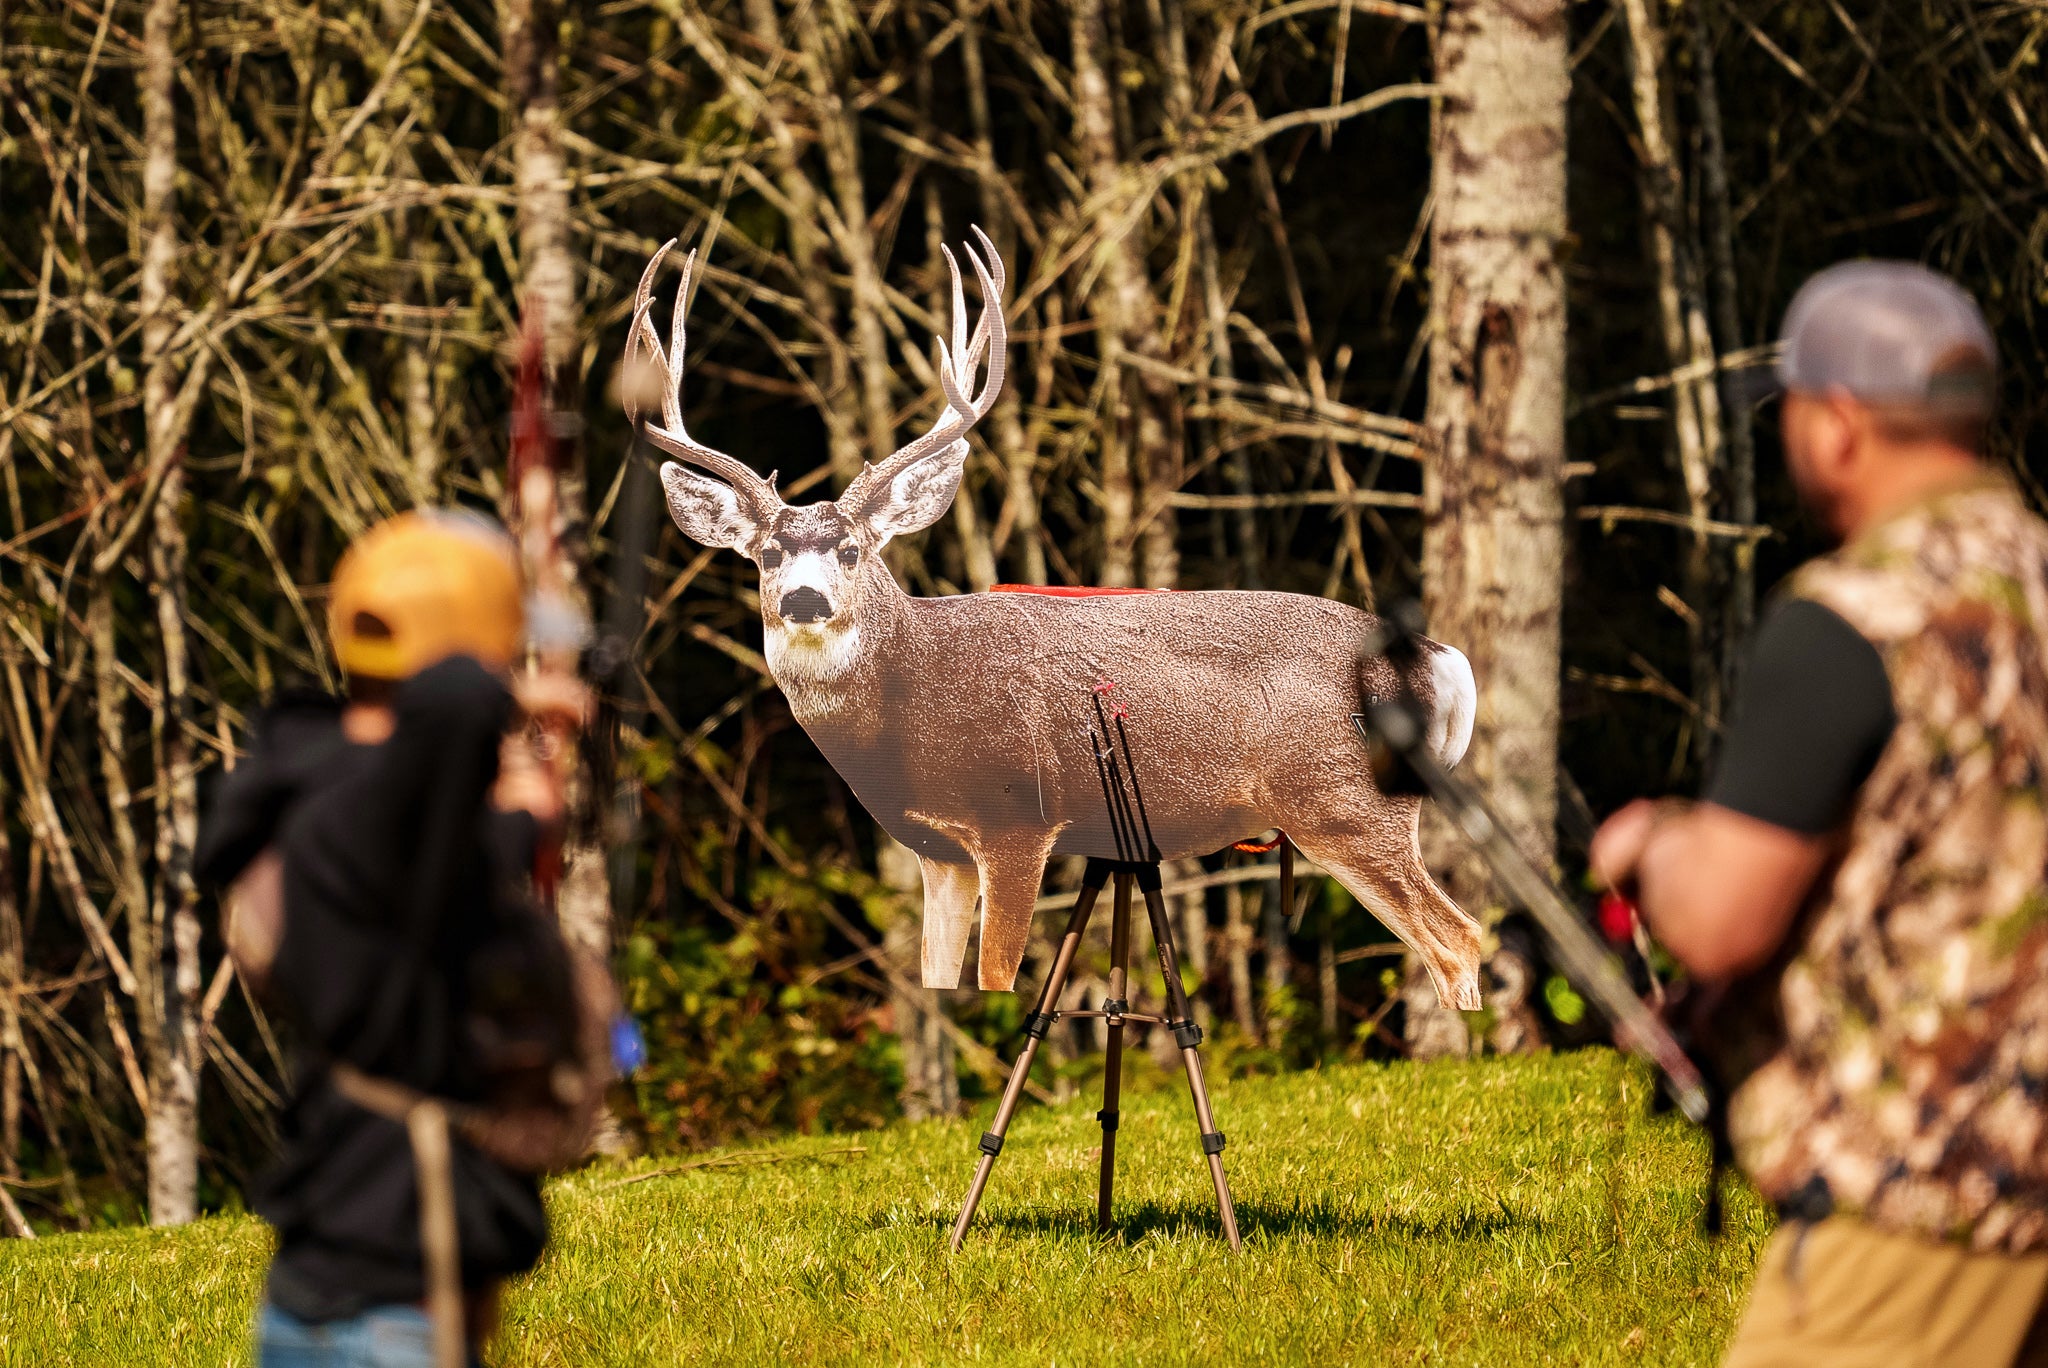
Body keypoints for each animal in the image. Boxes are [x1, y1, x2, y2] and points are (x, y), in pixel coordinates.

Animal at [626, 229, 1484, 1010]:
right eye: (767, 553)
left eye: (850, 549)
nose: (803, 600)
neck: (910, 712)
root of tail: (1439, 656)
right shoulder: (937, 854)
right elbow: (941, 979)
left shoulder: (1016, 824)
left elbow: (998, 976)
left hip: (1346, 805)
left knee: (1460, 938)